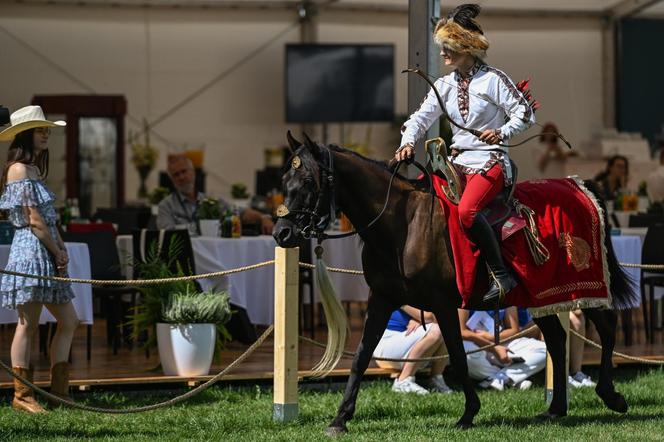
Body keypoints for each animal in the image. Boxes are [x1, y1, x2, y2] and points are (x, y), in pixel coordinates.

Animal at [274, 133, 632, 434]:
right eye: (284, 180)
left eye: (308, 181)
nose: (282, 233)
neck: (402, 225)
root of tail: (580, 187)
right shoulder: (382, 300)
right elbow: (362, 356)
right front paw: (341, 418)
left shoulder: (443, 305)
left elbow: (458, 355)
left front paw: (469, 413)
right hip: (540, 296)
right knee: (557, 340)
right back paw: (556, 408)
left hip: (583, 288)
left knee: (607, 326)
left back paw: (610, 395)